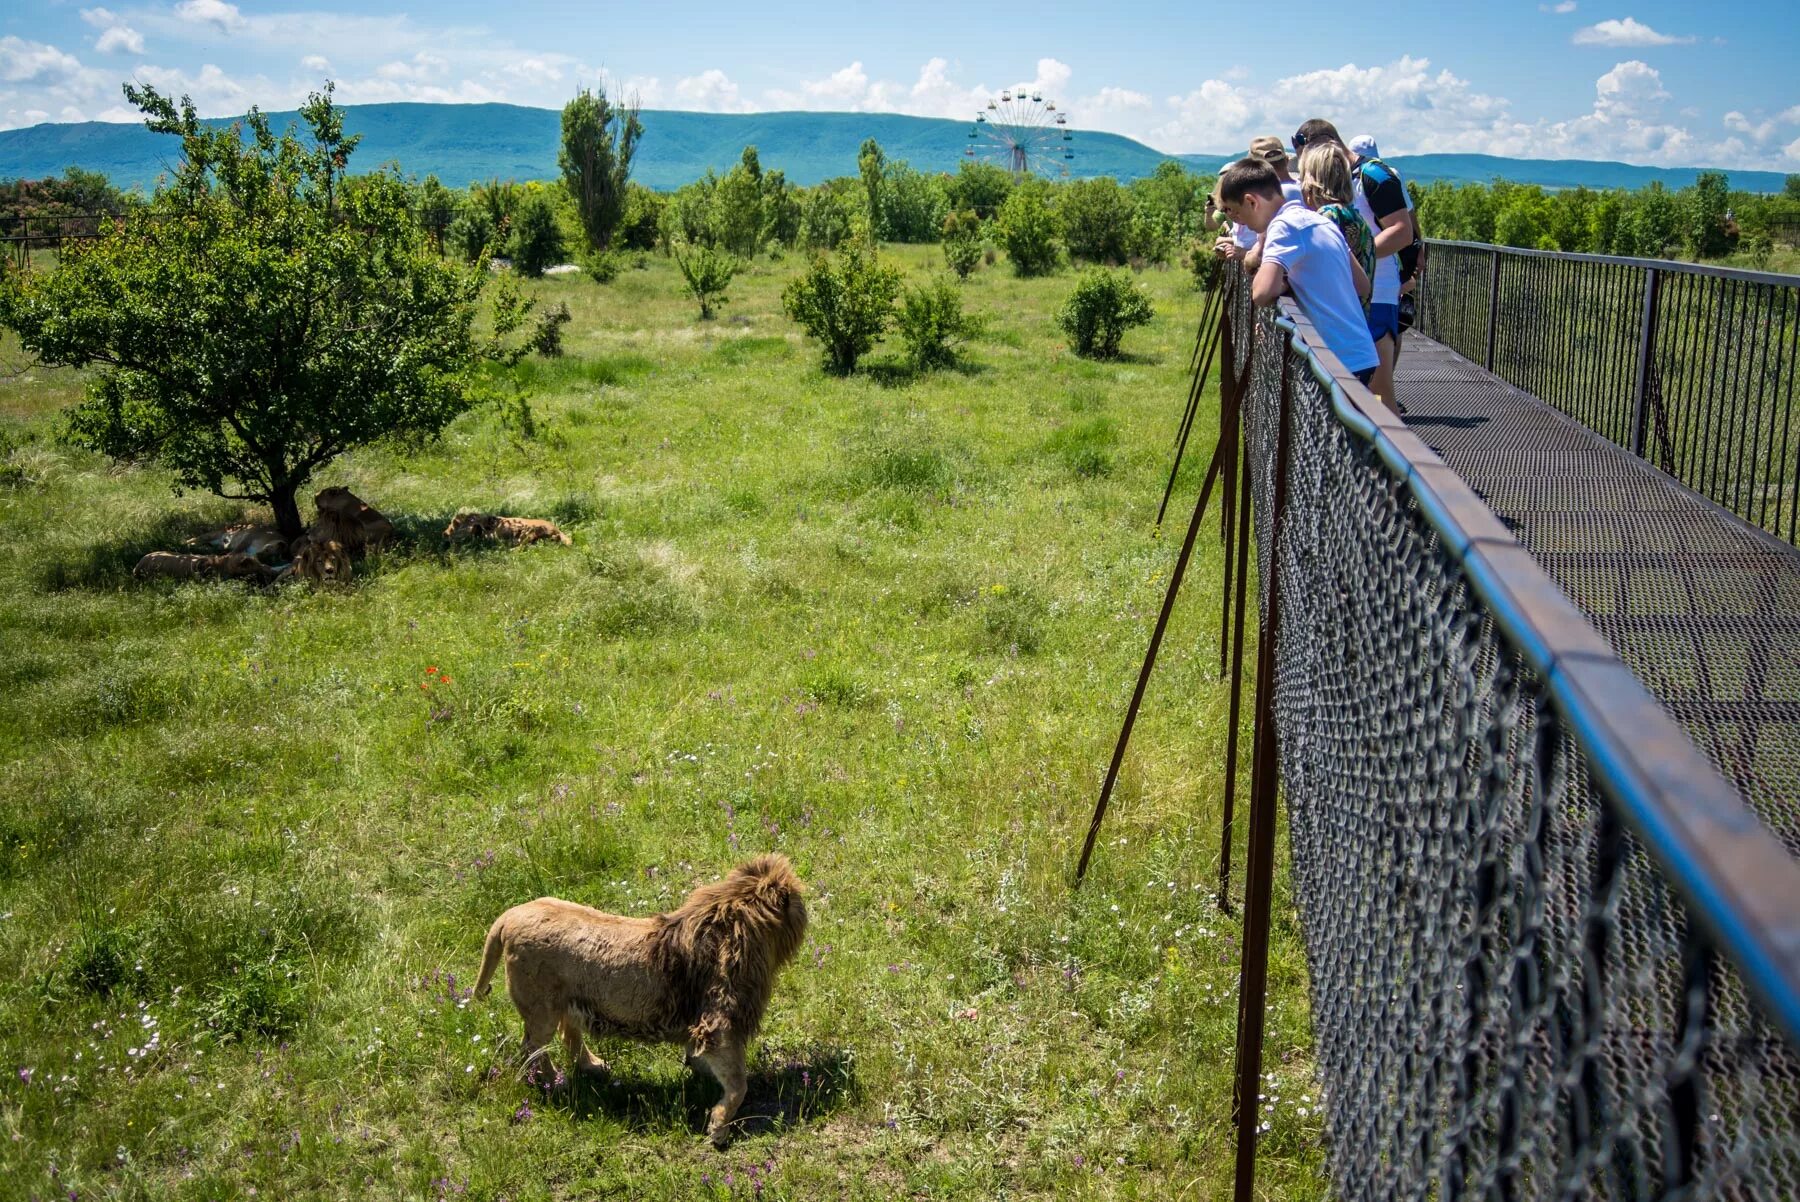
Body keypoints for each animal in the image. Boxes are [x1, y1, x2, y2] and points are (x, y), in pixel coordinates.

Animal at [482, 852, 813, 1144]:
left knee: (568, 1034)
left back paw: (593, 1066)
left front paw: (700, 1072)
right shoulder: (719, 1022)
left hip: (564, 1003)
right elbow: (737, 1084)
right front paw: (719, 1128)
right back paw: (554, 1083)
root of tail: (508, 917)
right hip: (541, 1011)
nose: (807, 911)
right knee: (532, 1049)